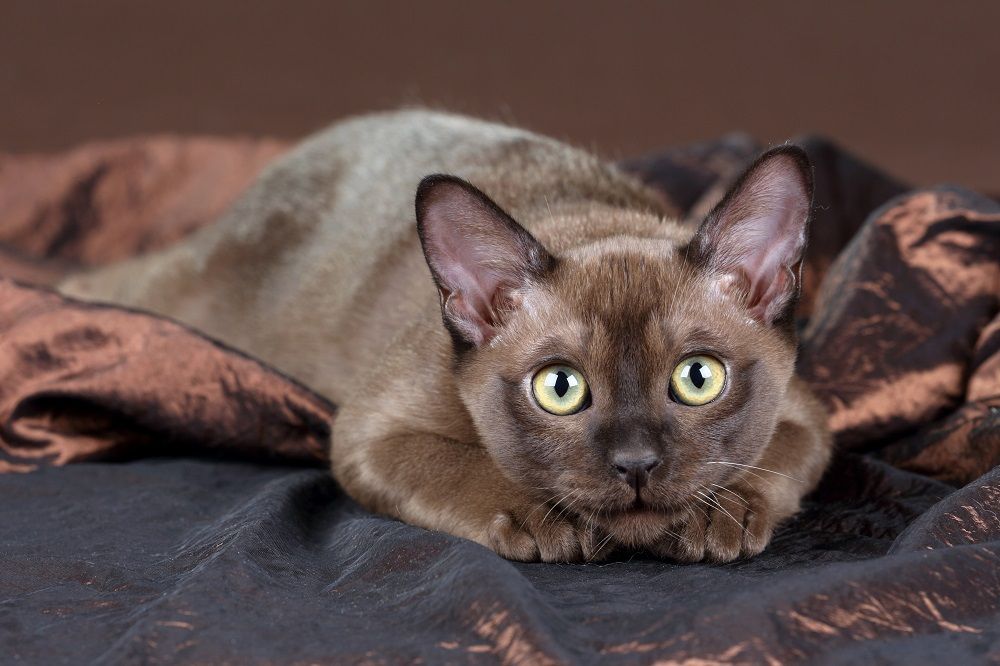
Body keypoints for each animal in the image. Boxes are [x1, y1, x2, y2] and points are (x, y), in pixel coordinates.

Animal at [58, 110, 832, 560]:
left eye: (698, 379)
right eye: (560, 388)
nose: (636, 464)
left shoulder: (808, 419)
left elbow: (773, 463)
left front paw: (718, 515)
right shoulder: (366, 432)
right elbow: (459, 466)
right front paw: (545, 521)